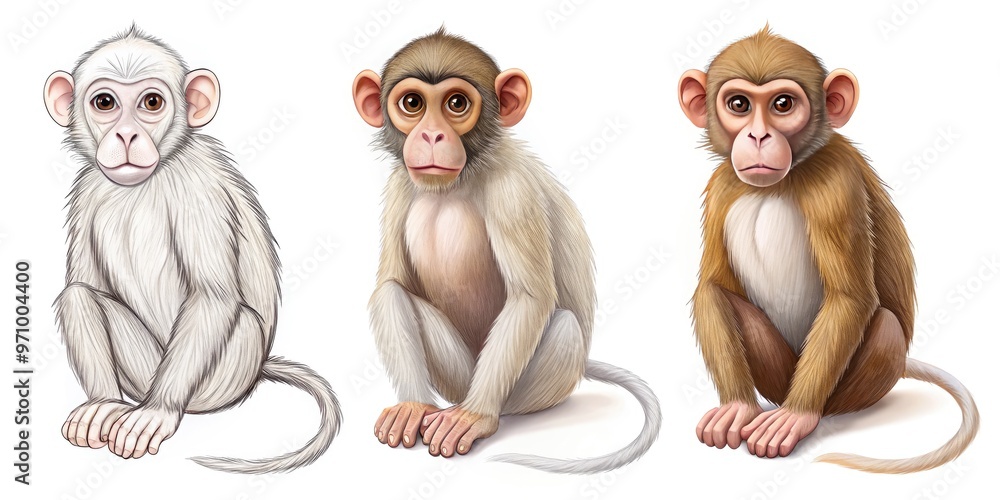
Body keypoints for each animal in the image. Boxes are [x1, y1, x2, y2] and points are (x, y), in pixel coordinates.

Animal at [42, 25, 341, 474]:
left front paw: (159, 412)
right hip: (143, 371)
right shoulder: (86, 191)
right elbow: (84, 282)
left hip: (226, 372)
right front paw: (102, 403)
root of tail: (256, 371)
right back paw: (111, 403)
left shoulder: (199, 190)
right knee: (79, 294)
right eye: (105, 103)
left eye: (151, 102)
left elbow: (212, 296)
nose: (126, 135)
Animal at [352, 29, 661, 474]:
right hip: (456, 377)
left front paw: (475, 416)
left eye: (456, 104)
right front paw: (412, 406)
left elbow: (530, 298)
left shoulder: (513, 191)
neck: (465, 175)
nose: (431, 136)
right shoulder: (399, 184)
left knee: (564, 326)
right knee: (395, 293)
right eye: (412, 104)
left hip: (534, 387)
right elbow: (390, 284)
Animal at [677, 26, 979, 474]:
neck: (788, 177)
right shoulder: (722, 187)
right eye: (739, 104)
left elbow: (850, 297)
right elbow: (712, 287)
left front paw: (796, 417)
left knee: (885, 325)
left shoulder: (836, 184)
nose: (758, 137)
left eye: (783, 104)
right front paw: (738, 407)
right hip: (778, 373)